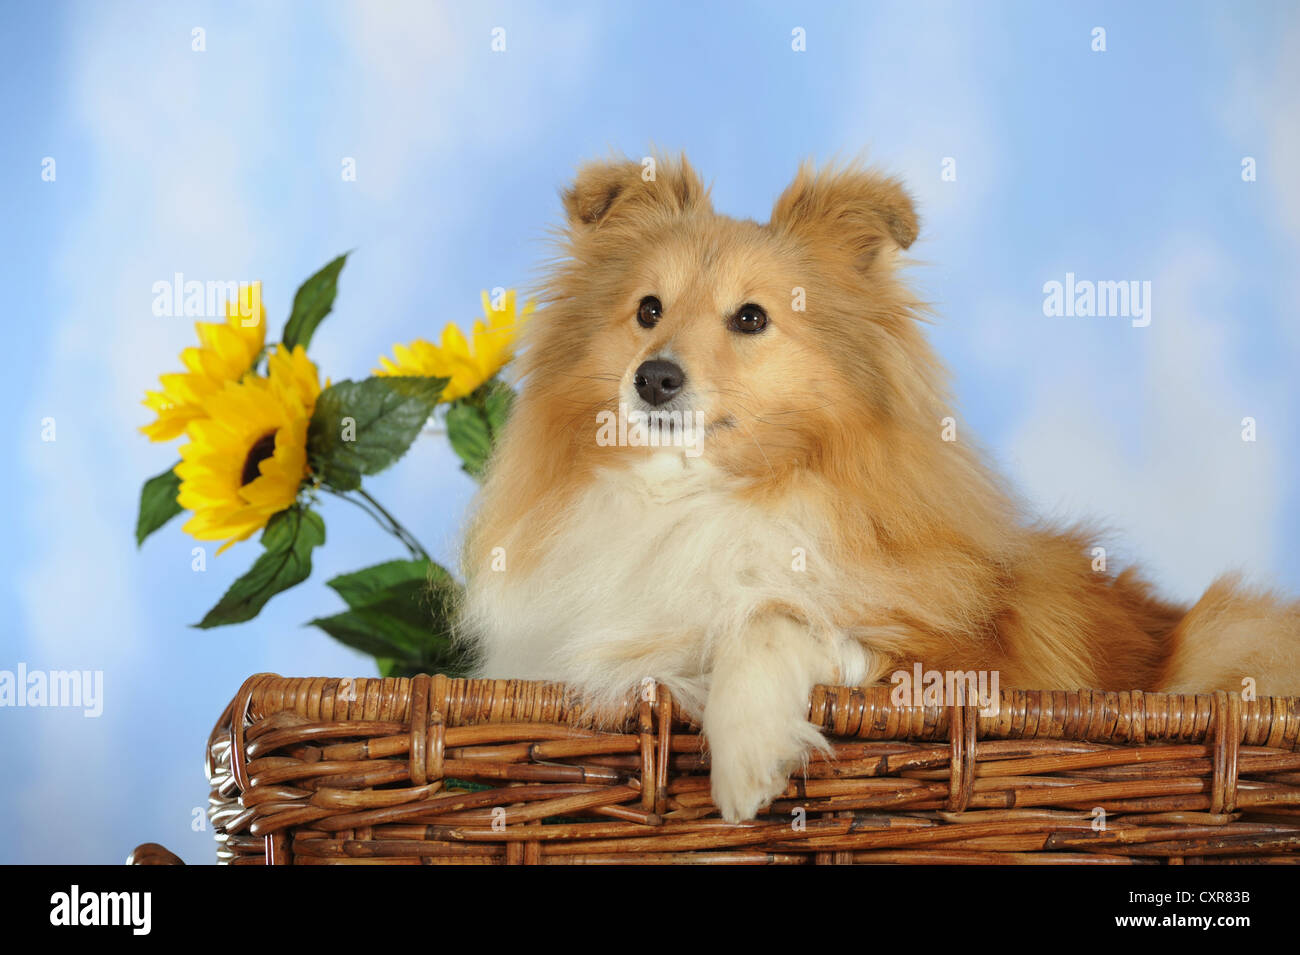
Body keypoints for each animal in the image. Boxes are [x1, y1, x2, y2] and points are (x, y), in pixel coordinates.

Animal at [457, 155, 1300, 821]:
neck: (697, 496)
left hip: (1231, 634)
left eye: (752, 317)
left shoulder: (955, 664)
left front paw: (745, 761)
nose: (654, 378)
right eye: (647, 309)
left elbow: (772, 616)